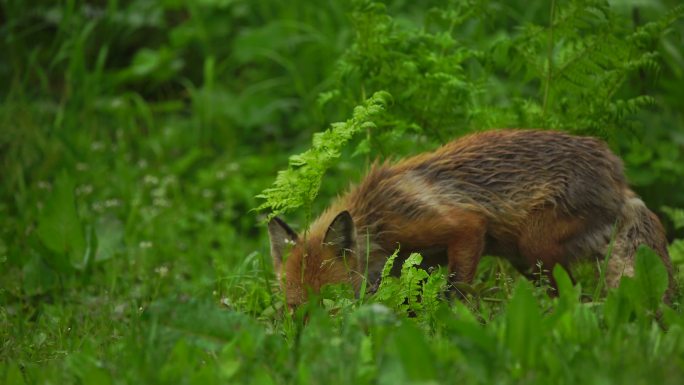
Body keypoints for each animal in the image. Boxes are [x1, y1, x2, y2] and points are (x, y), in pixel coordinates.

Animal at [266, 129, 672, 306]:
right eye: (293, 308)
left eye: (328, 301)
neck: (376, 218)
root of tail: (619, 180)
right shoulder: (420, 261)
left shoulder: (462, 226)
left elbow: (455, 288)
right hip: (526, 259)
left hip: (534, 244)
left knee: (575, 295)